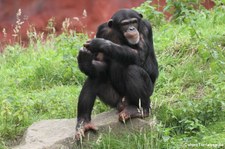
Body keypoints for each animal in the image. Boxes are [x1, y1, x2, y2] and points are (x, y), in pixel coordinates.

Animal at [75, 8, 158, 139]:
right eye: (125, 24)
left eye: (134, 22)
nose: (131, 29)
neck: (121, 35)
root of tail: (122, 104)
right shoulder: (102, 30)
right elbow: (102, 63)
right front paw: (85, 60)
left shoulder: (145, 28)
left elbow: (139, 55)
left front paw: (100, 43)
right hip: (114, 100)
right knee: (94, 78)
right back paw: (83, 122)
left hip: (147, 93)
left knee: (133, 70)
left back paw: (140, 110)